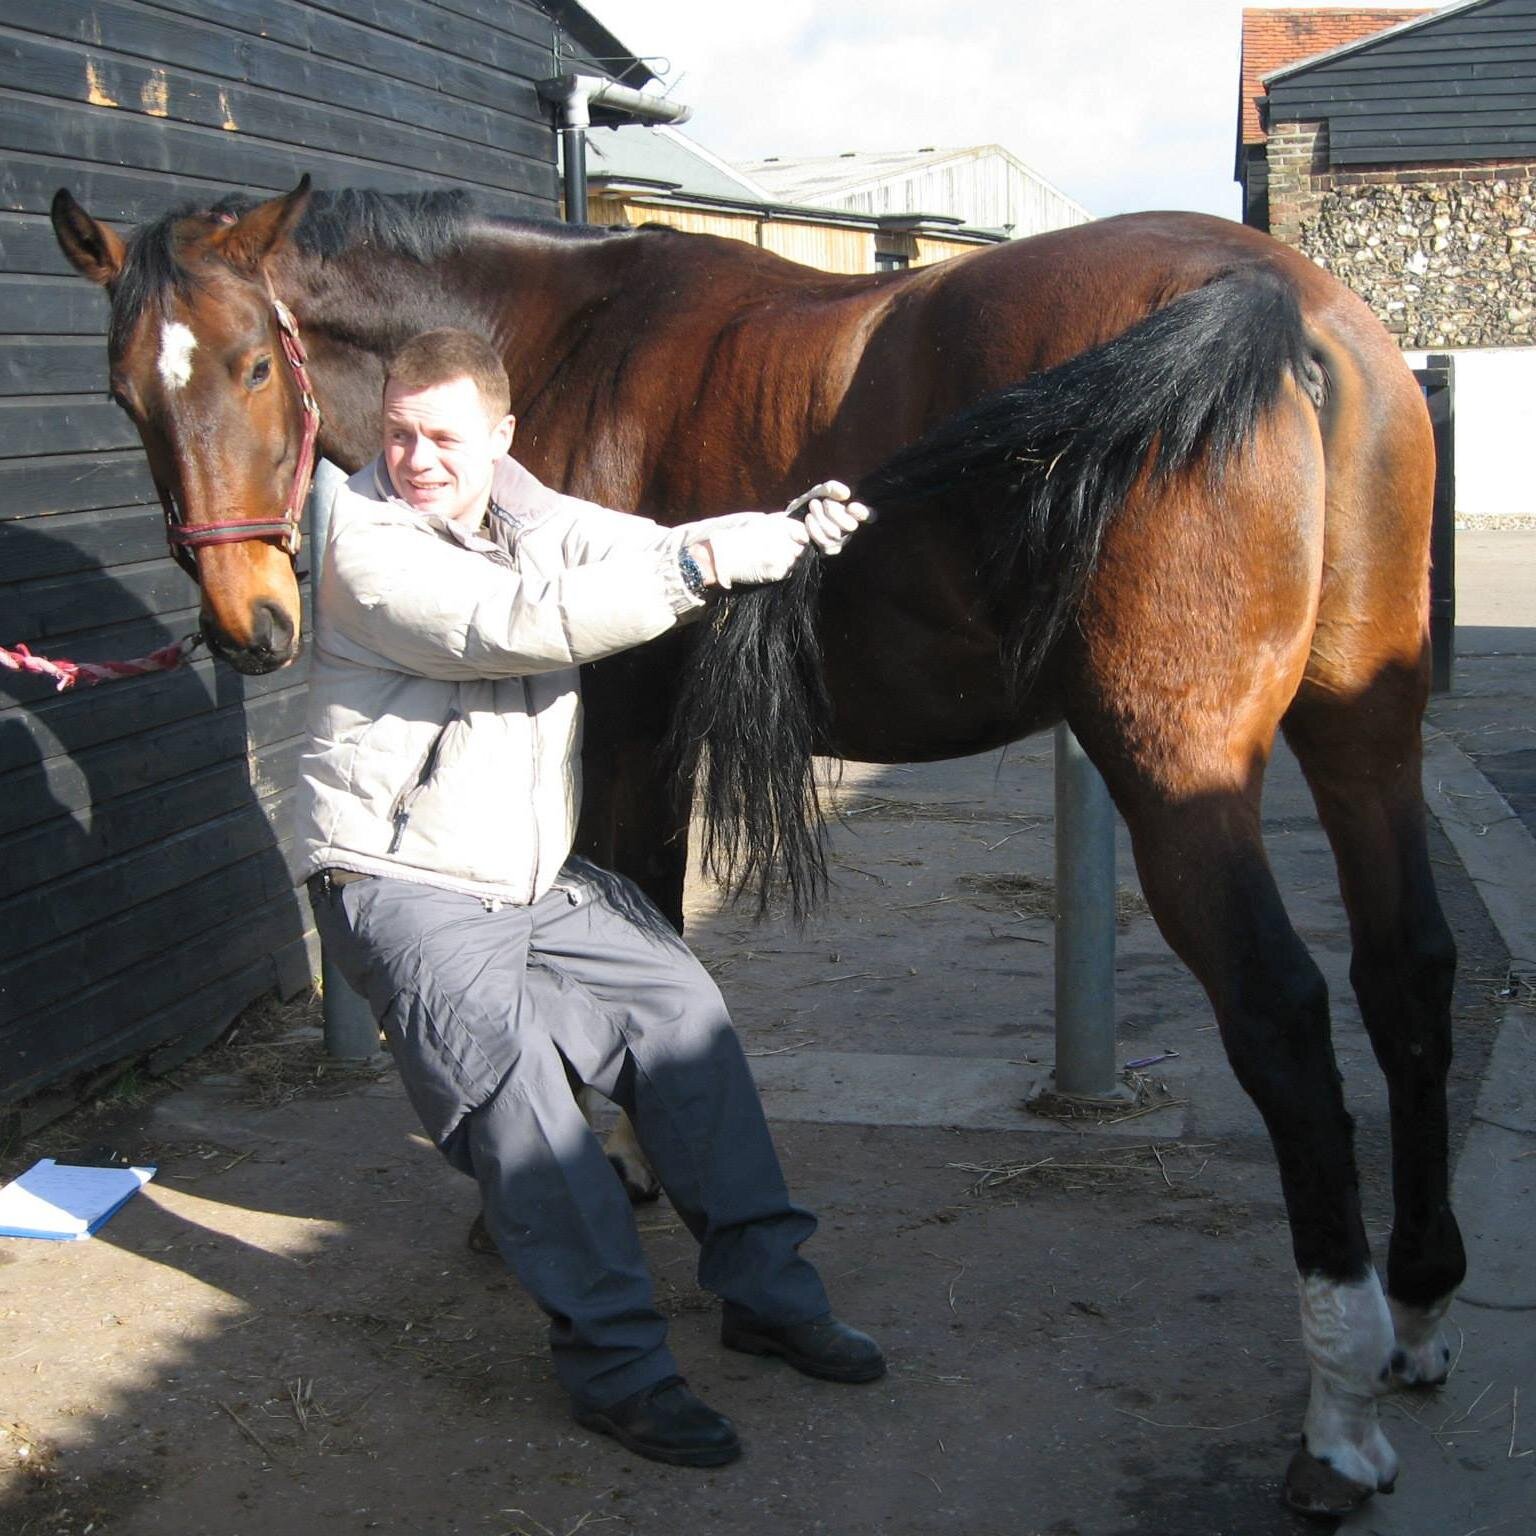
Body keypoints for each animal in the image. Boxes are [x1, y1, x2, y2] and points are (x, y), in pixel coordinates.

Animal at [50, 177, 1461, 1516]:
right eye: (127, 391)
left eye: (252, 365)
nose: (247, 625)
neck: (566, 341)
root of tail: (1272, 300)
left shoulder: (626, 738)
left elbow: (644, 926)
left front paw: (609, 1169)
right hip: (1366, 734)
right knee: (1409, 976)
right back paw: (1419, 1310)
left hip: (1181, 775)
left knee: (1284, 1017)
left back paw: (1338, 1420)